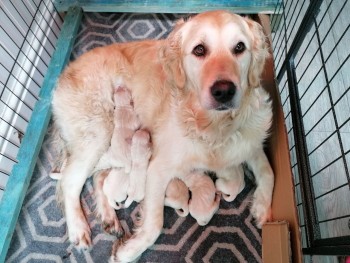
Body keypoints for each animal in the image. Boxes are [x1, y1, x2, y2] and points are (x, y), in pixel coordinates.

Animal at [51, 9, 274, 262]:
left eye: (239, 47)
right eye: (199, 50)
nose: (224, 91)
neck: (213, 126)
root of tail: (64, 73)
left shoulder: (249, 141)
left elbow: (269, 172)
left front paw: (261, 209)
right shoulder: (157, 169)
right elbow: (154, 224)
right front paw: (128, 252)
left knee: (97, 177)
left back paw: (109, 218)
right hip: (98, 132)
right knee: (70, 180)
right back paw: (79, 230)